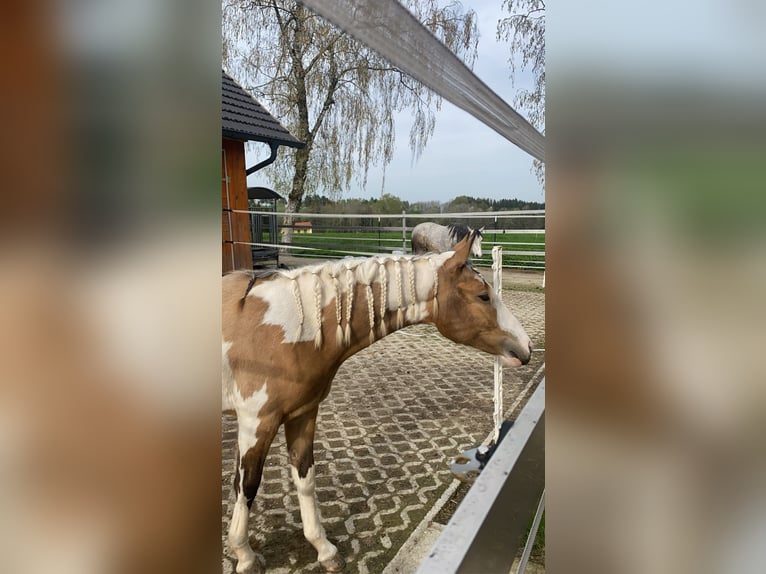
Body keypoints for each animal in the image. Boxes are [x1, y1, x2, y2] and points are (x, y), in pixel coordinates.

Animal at [222, 232, 532, 573]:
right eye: (483, 296)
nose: (526, 347)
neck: (292, 327)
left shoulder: (302, 414)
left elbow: (305, 478)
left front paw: (323, 549)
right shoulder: (255, 422)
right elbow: (246, 486)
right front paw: (245, 555)